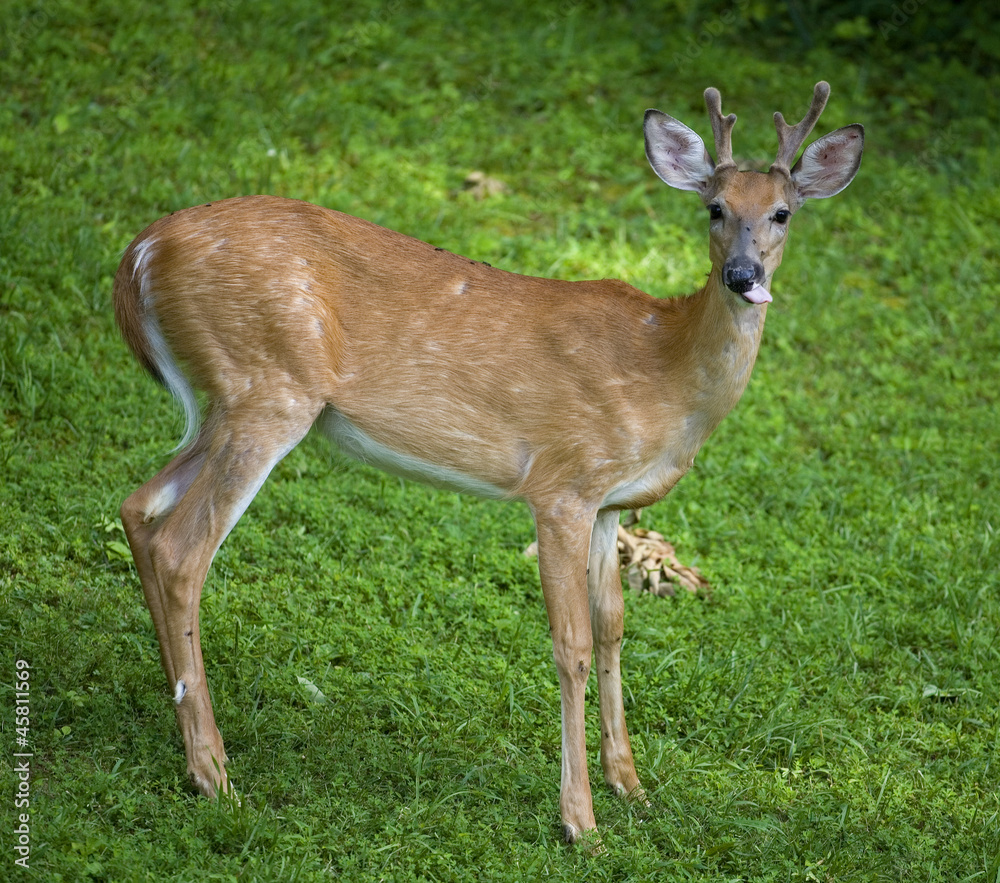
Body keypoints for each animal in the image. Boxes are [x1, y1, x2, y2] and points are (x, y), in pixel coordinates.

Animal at [115, 84, 860, 848]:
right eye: (715, 208)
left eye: (782, 212)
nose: (744, 276)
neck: (668, 373)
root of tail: (141, 251)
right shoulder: (562, 483)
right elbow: (572, 644)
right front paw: (580, 818)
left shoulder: (612, 502)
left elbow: (614, 627)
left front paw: (630, 784)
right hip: (267, 386)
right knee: (183, 549)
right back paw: (214, 774)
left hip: (232, 399)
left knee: (139, 507)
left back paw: (181, 728)